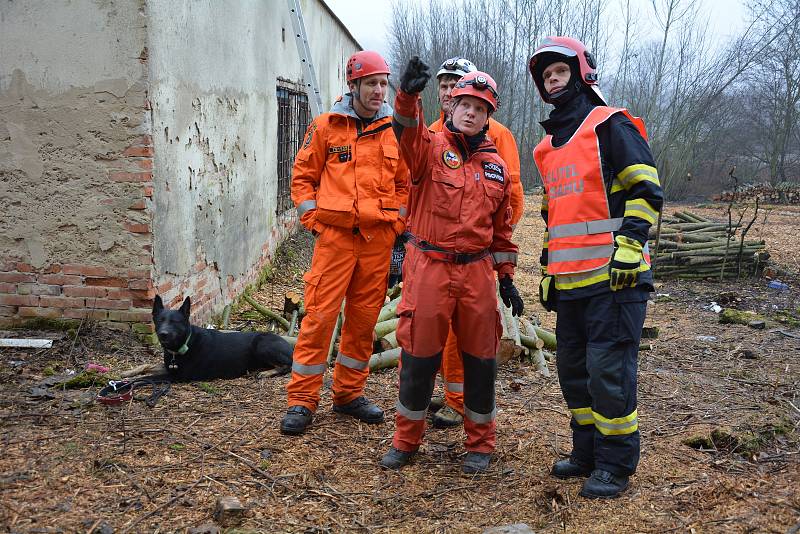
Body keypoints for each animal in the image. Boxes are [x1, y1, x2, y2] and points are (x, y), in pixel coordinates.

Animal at [151, 296, 294, 384]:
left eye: (175, 322)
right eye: (159, 321)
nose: (163, 334)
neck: (186, 342)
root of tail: (290, 346)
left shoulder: (179, 376)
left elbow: (150, 378)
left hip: (261, 345)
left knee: (287, 366)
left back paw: (266, 373)